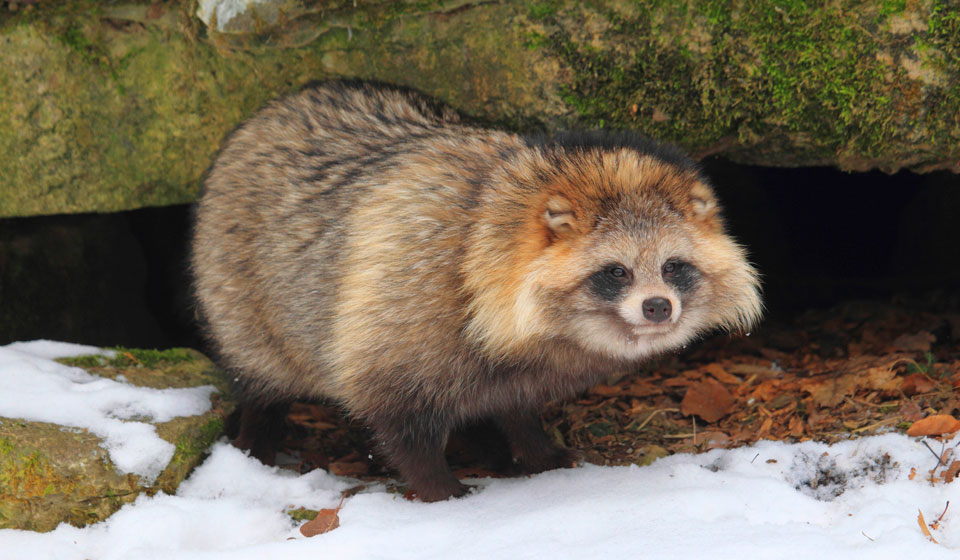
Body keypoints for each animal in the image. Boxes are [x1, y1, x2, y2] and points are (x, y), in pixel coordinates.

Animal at [191, 80, 760, 504]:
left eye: (673, 266)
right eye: (616, 272)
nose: (658, 306)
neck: (477, 245)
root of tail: (284, 102)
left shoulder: (517, 364)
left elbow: (515, 406)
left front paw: (533, 448)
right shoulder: (396, 316)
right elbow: (398, 422)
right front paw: (438, 486)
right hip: (240, 301)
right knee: (261, 376)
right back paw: (257, 435)